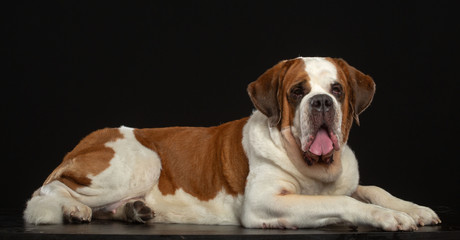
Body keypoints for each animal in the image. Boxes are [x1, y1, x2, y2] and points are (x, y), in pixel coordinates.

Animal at [23, 56, 440, 231]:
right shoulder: (264, 203)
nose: (321, 101)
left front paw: (413, 208)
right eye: (297, 92)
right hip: (142, 161)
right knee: (46, 192)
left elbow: (370, 189)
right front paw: (386, 218)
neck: (314, 169)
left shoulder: (348, 182)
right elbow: (340, 202)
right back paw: (72, 211)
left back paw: (135, 211)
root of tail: (88, 138)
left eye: (337, 89)